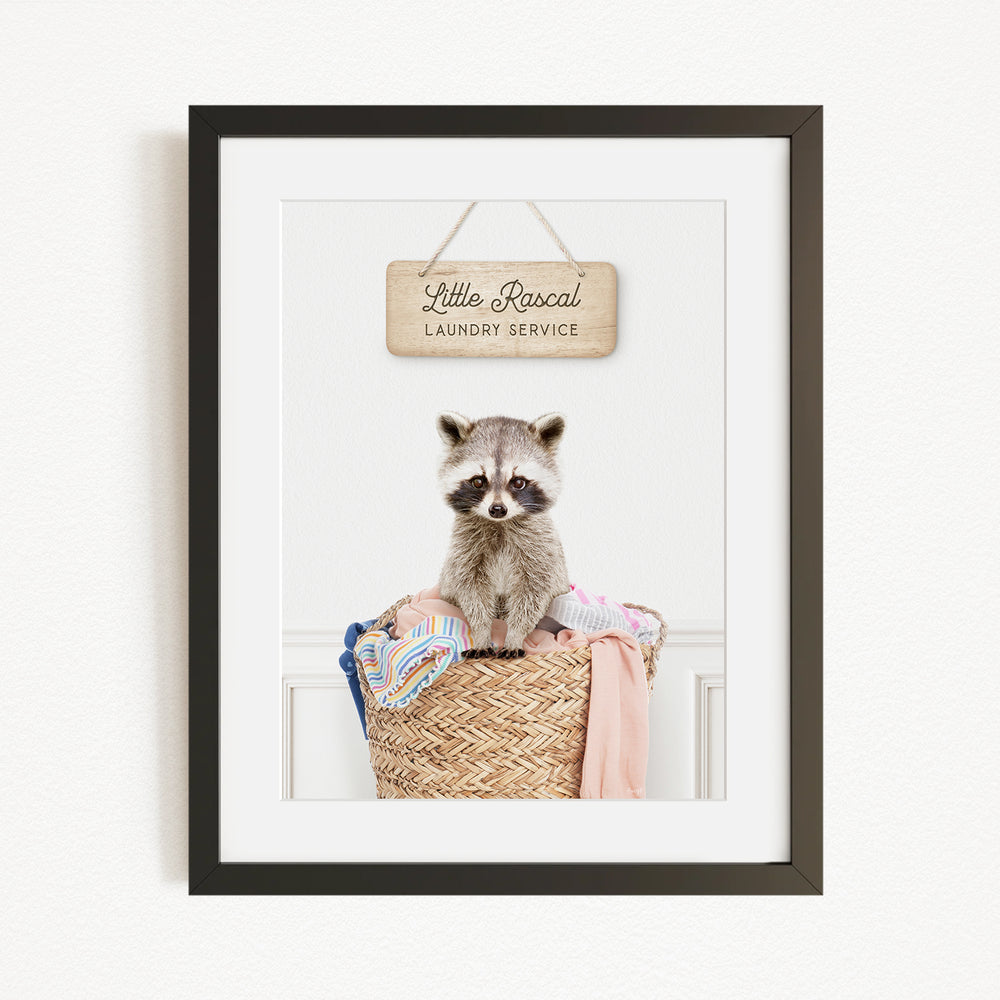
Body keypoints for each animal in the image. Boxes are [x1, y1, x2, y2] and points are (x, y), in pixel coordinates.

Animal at [437, 411, 571, 657]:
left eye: (518, 482)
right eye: (478, 481)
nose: (497, 509)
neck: (500, 524)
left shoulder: (540, 549)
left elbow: (533, 594)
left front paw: (515, 635)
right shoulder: (464, 550)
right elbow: (472, 592)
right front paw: (481, 633)